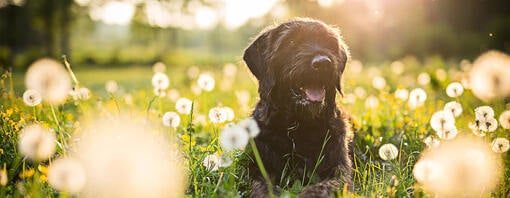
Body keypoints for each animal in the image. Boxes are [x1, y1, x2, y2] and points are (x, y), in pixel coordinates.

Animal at [245, 17, 352, 197]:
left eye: (329, 43)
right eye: (291, 42)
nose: (323, 63)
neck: (298, 126)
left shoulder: (339, 168)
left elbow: (328, 185)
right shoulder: (257, 167)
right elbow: (261, 185)